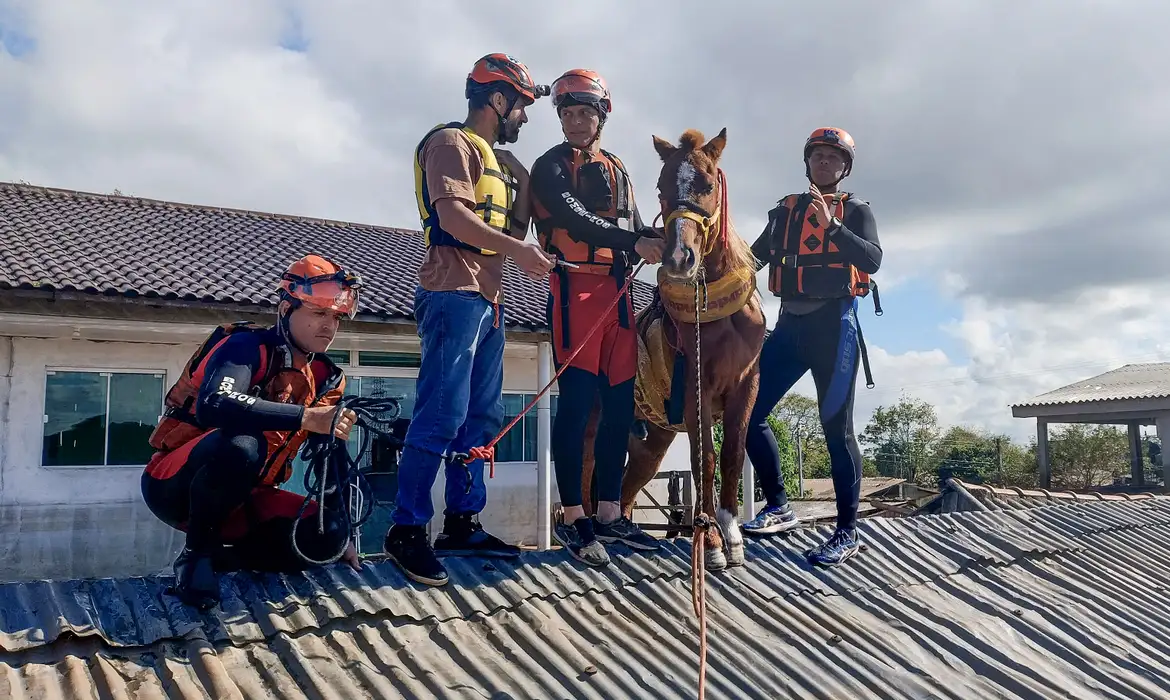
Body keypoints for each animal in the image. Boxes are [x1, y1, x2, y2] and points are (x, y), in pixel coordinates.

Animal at [577, 128, 762, 573]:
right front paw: (710, 539)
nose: (679, 258)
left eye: (708, 185)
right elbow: (704, 460)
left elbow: (732, 454)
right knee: (585, 473)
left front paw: (731, 534)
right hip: (594, 423)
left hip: (650, 444)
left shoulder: (747, 385)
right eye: (661, 189)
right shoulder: (697, 390)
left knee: (625, 491)